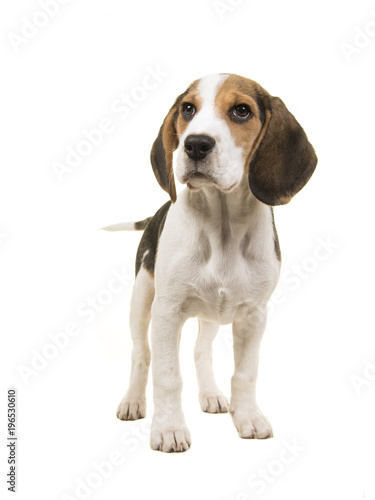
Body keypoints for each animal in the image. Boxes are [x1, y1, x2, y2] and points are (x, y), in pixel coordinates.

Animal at [104, 73, 318, 454]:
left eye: (242, 111)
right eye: (188, 109)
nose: (195, 145)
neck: (222, 225)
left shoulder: (253, 315)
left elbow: (246, 373)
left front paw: (248, 417)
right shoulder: (166, 312)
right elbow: (167, 376)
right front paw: (169, 429)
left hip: (212, 315)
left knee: (201, 350)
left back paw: (212, 395)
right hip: (142, 300)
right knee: (141, 353)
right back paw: (132, 401)